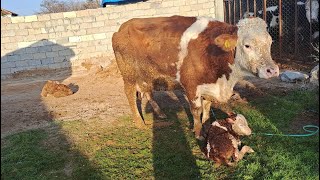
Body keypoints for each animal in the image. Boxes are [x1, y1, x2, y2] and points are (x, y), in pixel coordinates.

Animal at [112, 15, 280, 139]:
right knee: (130, 95)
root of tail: (121, 28)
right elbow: (196, 110)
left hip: (147, 75)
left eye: (270, 43)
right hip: (129, 74)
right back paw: (139, 122)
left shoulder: (209, 86)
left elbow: (206, 108)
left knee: (147, 92)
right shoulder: (191, 86)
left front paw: (206, 126)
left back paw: (160, 113)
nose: (272, 70)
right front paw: (198, 133)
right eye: (247, 45)